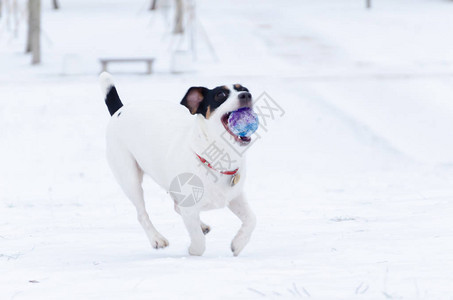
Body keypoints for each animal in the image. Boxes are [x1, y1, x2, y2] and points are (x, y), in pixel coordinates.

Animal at [99, 72, 256, 255]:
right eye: (220, 95)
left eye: (244, 89)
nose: (246, 95)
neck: (217, 159)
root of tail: (119, 111)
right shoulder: (190, 208)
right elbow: (198, 241)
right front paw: (193, 251)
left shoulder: (235, 196)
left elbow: (252, 219)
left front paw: (238, 244)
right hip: (129, 179)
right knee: (142, 213)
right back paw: (157, 239)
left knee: (176, 207)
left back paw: (202, 226)